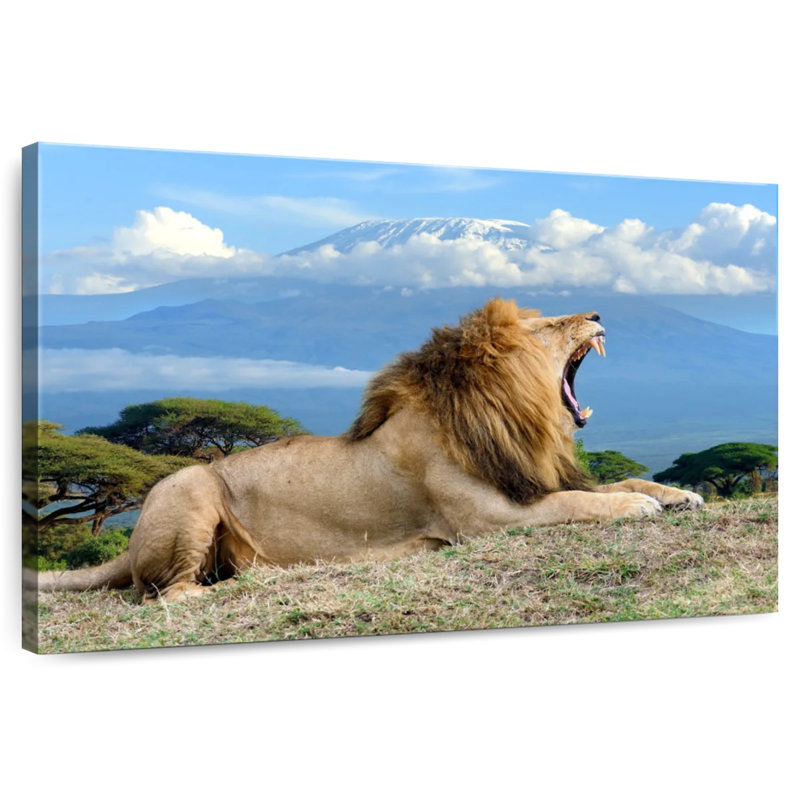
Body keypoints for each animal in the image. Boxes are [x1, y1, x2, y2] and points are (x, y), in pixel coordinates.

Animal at [37, 298, 702, 602]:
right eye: (548, 327)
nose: (595, 311)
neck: (514, 419)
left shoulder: (531, 479)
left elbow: (623, 482)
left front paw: (679, 493)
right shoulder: (487, 519)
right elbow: (577, 505)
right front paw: (636, 510)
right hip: (189, 487)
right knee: (166, 594)